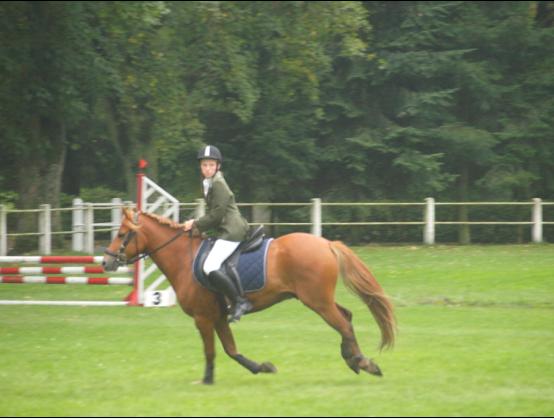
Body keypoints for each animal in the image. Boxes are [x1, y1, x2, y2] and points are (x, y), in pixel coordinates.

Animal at [103, 208, 395, 384]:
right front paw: (262, 367)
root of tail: (326, 243)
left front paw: (206, 380)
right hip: (319, 299)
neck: (184, 259)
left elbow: (211, 350)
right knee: (347, 317)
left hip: (317, 302)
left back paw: (362, 362)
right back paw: (354, 359)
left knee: (343, 324)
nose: (106, 262)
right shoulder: (219, 316)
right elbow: (231, 350)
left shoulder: (203, 317)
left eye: (122, 234)